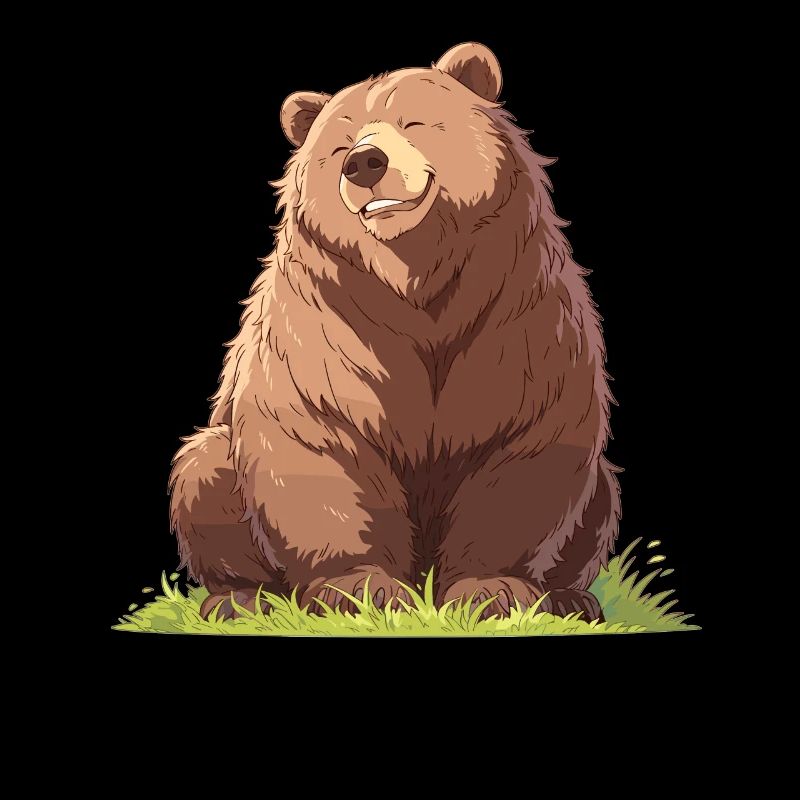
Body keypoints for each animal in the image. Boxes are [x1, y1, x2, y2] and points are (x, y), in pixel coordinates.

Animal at [169, 42, 621, 622]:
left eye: (416, 121)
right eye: (339, 143)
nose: (364, 162)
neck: (416, 281)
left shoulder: (515, 322)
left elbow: (518, 450)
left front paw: (490, 590)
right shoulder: (328, 333)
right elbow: (319, 443)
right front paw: (361, 588)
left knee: (599, 495)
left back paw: (570, 598)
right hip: (219, 470)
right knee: (203, 472)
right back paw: (241, 599)